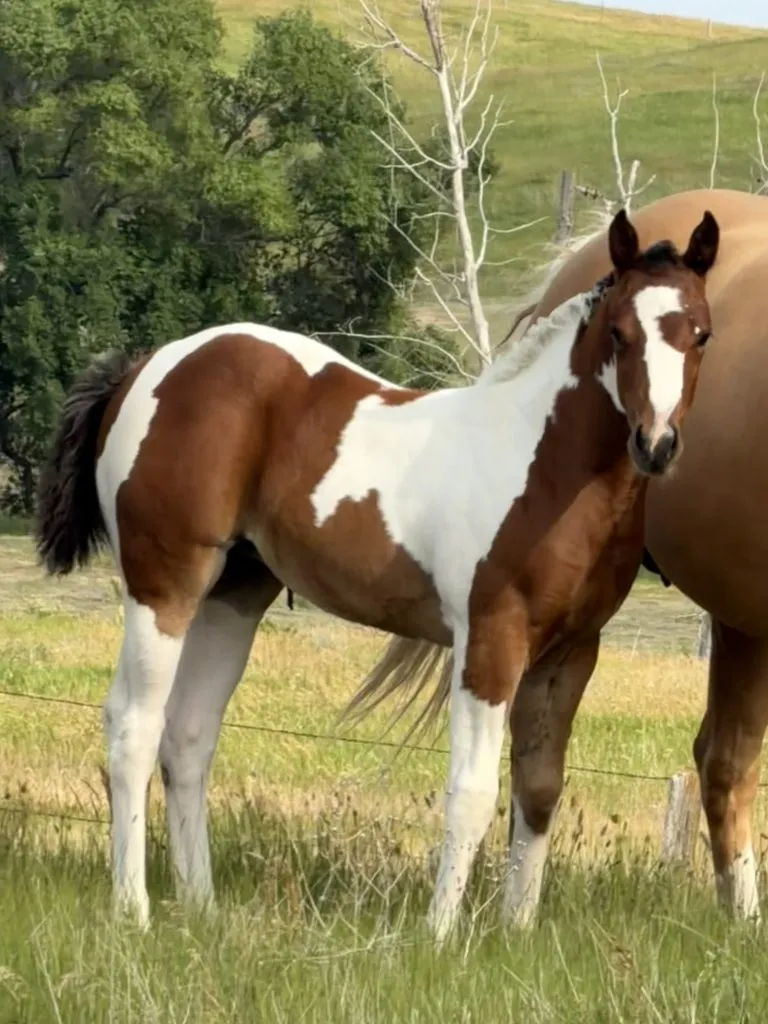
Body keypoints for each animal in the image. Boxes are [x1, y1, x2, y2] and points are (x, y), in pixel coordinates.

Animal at [33, 207, 719, 939]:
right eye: (620, 332)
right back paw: (132, 908)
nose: (656, 445)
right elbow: (473, 791)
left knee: (188, 735)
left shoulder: (570, 654)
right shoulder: (491, 640)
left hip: (233, 595)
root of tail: (146, 367)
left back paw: (202, 906)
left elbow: (538, 791)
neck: (544, 466)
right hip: (164, 584)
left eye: (701, 333)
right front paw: (439, 935)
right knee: (133, 725)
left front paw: (516, 932)